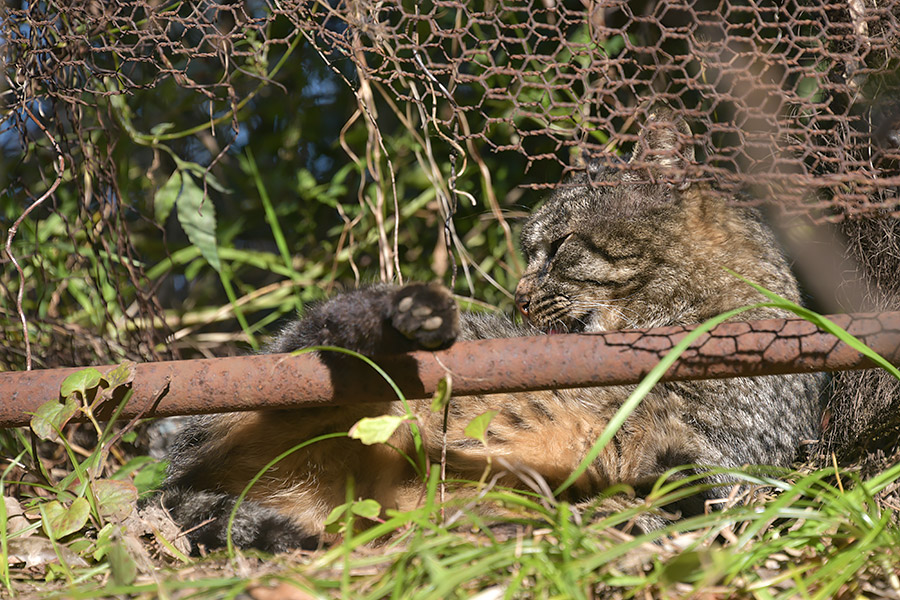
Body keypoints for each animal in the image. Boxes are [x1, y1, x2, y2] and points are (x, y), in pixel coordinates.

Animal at [160, 108, 824, 552]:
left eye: (558, 248)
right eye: (528, 254)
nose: (520, 298)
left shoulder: (727, 456)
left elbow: (686, 490)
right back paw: (408, 323)